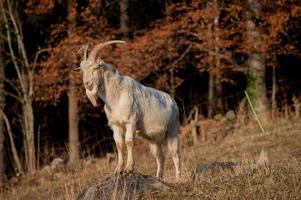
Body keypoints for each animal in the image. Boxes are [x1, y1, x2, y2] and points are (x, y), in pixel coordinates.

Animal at [76, 40, 180, 180]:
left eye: (96, 67)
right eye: (82, 69)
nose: (87, 83)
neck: (116, 95)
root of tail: (173, 102)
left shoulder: (130, 121)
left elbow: (129, 142)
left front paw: (129, 168)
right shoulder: (115, 125)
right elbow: (119, 144)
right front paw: (118, 170)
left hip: (173, 131)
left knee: (175, 154)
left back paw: (179, 178)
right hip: (153, 139)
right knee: (160, 157)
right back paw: (158, 178)